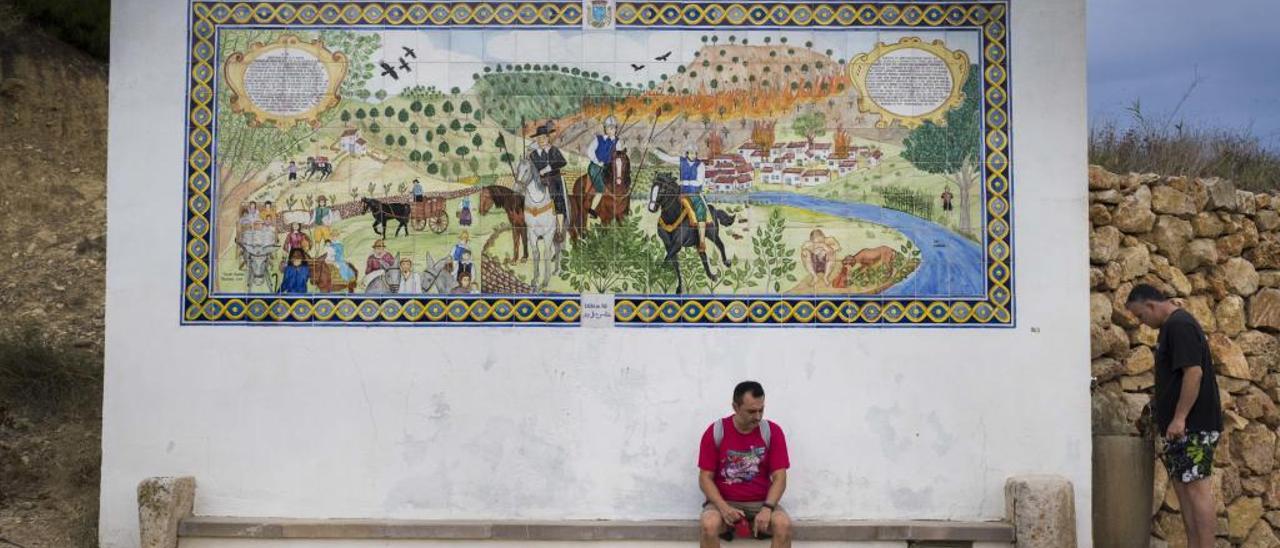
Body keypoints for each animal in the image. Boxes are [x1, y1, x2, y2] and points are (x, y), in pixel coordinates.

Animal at [514, 156, 560, 290]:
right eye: (517, 169)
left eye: (526, 170)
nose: (517, 188)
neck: (537, 204)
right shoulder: (531, 234)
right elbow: (536, 254)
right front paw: (535, 279)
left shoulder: (548, 234)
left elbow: (546, 254)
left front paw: (545, 281)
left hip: (558, 233)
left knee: (558, 249)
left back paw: (556, 270)